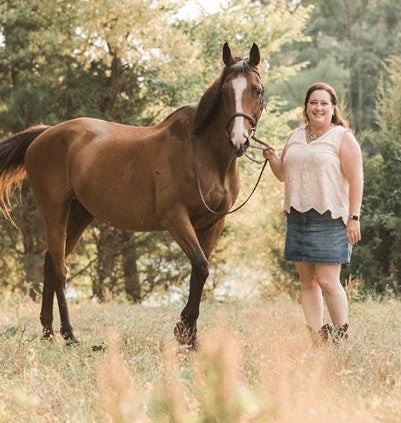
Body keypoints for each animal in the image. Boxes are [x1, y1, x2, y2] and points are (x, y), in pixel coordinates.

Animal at [0, 43, 266, 348]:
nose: (239, 141)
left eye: (257, 90)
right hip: (54, 210)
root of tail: (43, 135)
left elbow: (199, 272)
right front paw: (183, 330)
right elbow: (200, 267)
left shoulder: (213, 223)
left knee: (49, 262)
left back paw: (47, 332)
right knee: (59, 269)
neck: (201, 152)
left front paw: (190, 336)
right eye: (224, 92)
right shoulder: (176, 218)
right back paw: (69, 334)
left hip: (79, 215)